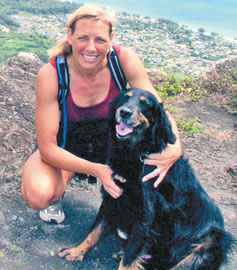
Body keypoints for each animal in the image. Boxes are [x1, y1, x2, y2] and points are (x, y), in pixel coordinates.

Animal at [58, 87, 233, 268]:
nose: (124, 112)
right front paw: (77, 251)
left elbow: (128, 260)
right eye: (125, 98)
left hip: (211, 241)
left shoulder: (145, 217)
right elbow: (94, 231)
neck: (135, 153)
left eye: (145, 104)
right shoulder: (113, 198)